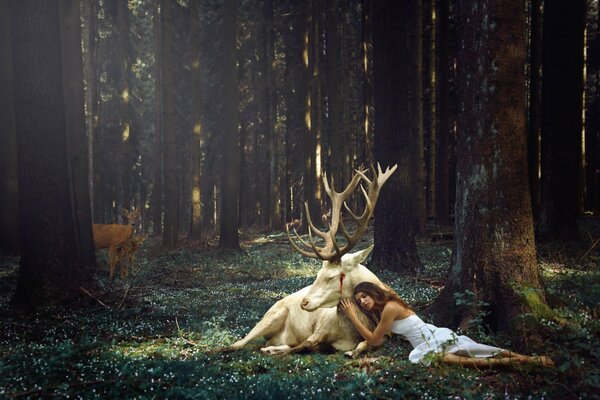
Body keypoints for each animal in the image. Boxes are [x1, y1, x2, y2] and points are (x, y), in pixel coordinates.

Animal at [226, 162, 398, 356]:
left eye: (331, 277)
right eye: (317, 274)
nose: (304, 302)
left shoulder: (385, 334)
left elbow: (366, 343)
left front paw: (352, 351)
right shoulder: (320, 328)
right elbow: (306, 344)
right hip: (270, 316)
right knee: (240, 342)